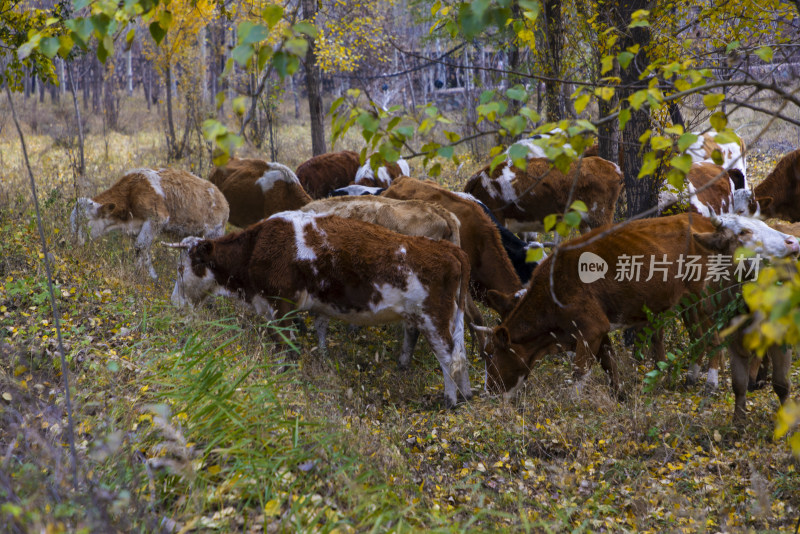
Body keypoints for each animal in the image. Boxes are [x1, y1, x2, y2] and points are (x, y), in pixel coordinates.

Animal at [70, 169, 230, 280]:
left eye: (85, 221)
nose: (73, 242)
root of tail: (221, 196)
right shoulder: (137, 228)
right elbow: (143, 250)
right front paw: (150, 276)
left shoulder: (157, 219)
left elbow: (140, 247)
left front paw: (142, 276)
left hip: (214, 232)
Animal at [169, 211, 468, 408]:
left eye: (182, 267)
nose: (174, 303)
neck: (256, 248)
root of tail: (448, 249)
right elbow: (317, 332)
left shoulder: (280, 306)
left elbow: (285, 345)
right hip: (450, 316)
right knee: (461, 353)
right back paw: (467, 394)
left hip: (433, 318)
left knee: (448, 357)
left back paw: (450, 400)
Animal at [482, 214, 800, 422]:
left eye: (492, 358)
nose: (489, 392)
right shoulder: (598, 330)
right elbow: (608, 363)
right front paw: (619, 394)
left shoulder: (590, 327)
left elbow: (580, 372)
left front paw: (572, 404)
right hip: (686, 301)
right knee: (699, 336)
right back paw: (691, 376)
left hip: (704, 297)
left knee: (713, 338)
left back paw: (709, 382)